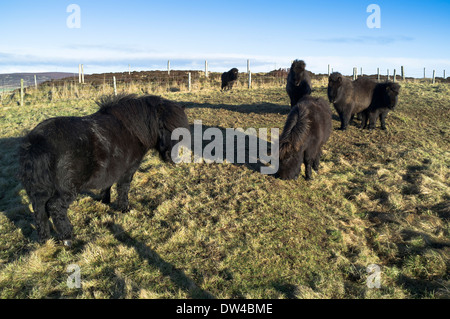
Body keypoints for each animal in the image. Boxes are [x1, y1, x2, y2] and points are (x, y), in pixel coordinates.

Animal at [18, 94, 188, 246]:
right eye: (163, 126)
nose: (172, 158)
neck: (132, 130)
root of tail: (37, 142)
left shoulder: (111, 170)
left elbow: (108, 184)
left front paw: (104, 200)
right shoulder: (128, 171)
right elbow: (123, 188)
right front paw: (124, 208)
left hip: (40, 192)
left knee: (39, 212)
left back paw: (45, 241)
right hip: (67, 189)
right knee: (55, 207)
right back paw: (67, 237)